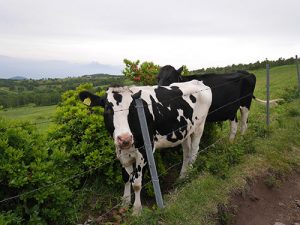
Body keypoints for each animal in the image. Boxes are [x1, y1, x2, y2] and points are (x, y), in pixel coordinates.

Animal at [78, 80, 212, 214]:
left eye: (132, 109)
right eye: (107, 109)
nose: (125, 138)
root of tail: (198, 82)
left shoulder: (144, 152)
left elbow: (137, 183)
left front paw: (137, 210)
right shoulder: (121, 152)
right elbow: (126, 178)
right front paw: (125, 202)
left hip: (199, 126)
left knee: (194, 151)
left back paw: (190, 174)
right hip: (184, 132)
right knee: (187, 152)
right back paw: (182, 176)